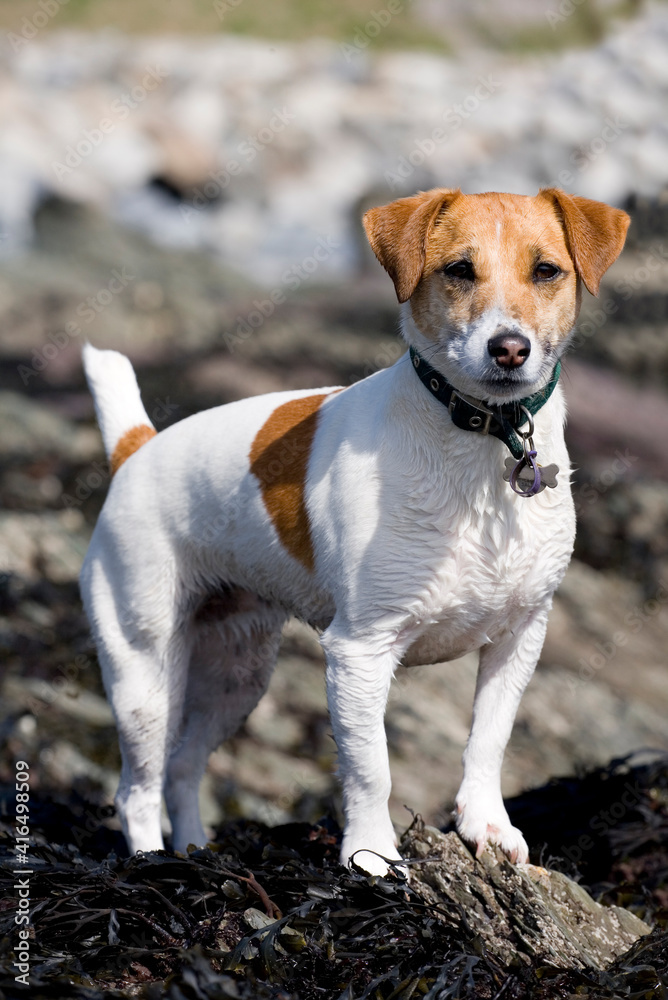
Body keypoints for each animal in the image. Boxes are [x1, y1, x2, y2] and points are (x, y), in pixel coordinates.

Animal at [81, 188, 628, 876]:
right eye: (459, 270)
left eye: (547, 271)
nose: (510, 347)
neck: (482, 440)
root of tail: (137, 448)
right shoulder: (359, 652)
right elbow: (372, 770)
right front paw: (371, 857)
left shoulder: (520, 636)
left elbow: (488, 740)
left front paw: (486, 826)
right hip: (144, 671)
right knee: (138, 787)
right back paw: (152, 860)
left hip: (237, 672)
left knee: (183, 766)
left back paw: (192, 852)